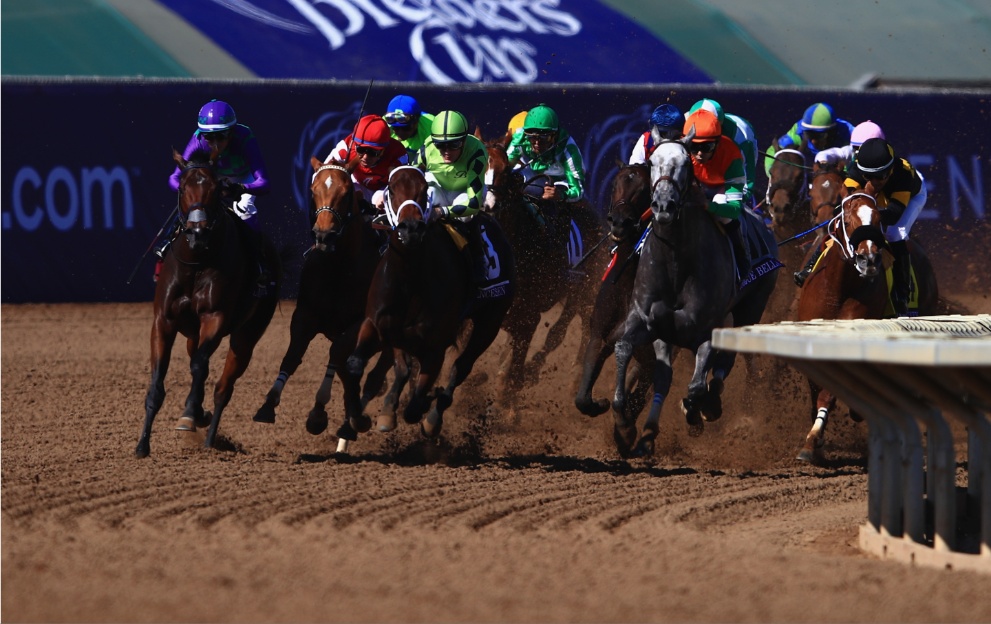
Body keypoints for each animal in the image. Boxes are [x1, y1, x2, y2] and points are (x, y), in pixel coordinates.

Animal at [134, 148, 280, 456]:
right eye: (182, 188)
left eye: (215, 189)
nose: (197, 233)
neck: (197, 262)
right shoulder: (163, 321)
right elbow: (158, 381)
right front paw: (142, 444)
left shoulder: (215, 317)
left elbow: (200, 366)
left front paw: (189, 415)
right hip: (192, 331)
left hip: (247, 336)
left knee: (223, 388)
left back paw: (210, 439)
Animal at [252, 158, 392, 446]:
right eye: (314, 190)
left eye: (346, 192)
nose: (323, 235)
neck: (338, 267)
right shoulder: (305, 314)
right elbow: (293, 355)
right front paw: (268, 405)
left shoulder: (360, 322)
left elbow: (337, 354)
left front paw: (318, 413)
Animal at [342, 166, 516, 438]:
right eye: (391, 189)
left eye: (425, 189)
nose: (410, 228)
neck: (410, 280)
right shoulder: (378, 324)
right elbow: (357, 364)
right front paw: (362, 417)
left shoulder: (436, 347)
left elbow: (416, 405)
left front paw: (425, 405)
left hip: (491, 321)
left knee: (461, 366)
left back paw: (433, 415)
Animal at [608, 139, 740, 456]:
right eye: (653, 162)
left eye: (685, 163)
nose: (663, 206)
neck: (676, 260)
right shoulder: (647, 320)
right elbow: (624, 348)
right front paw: (624, 425)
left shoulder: (707, 328)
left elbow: (696, 386)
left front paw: (695, 412)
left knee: (720, 366)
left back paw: (708, 406)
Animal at [796, 193, 940, 460]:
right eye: (847, 221)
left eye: (877, 221)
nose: (869, 259)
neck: (838, 288)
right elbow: (816, 385)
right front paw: (815, 440)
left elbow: (829, 392)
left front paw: (813, 439)